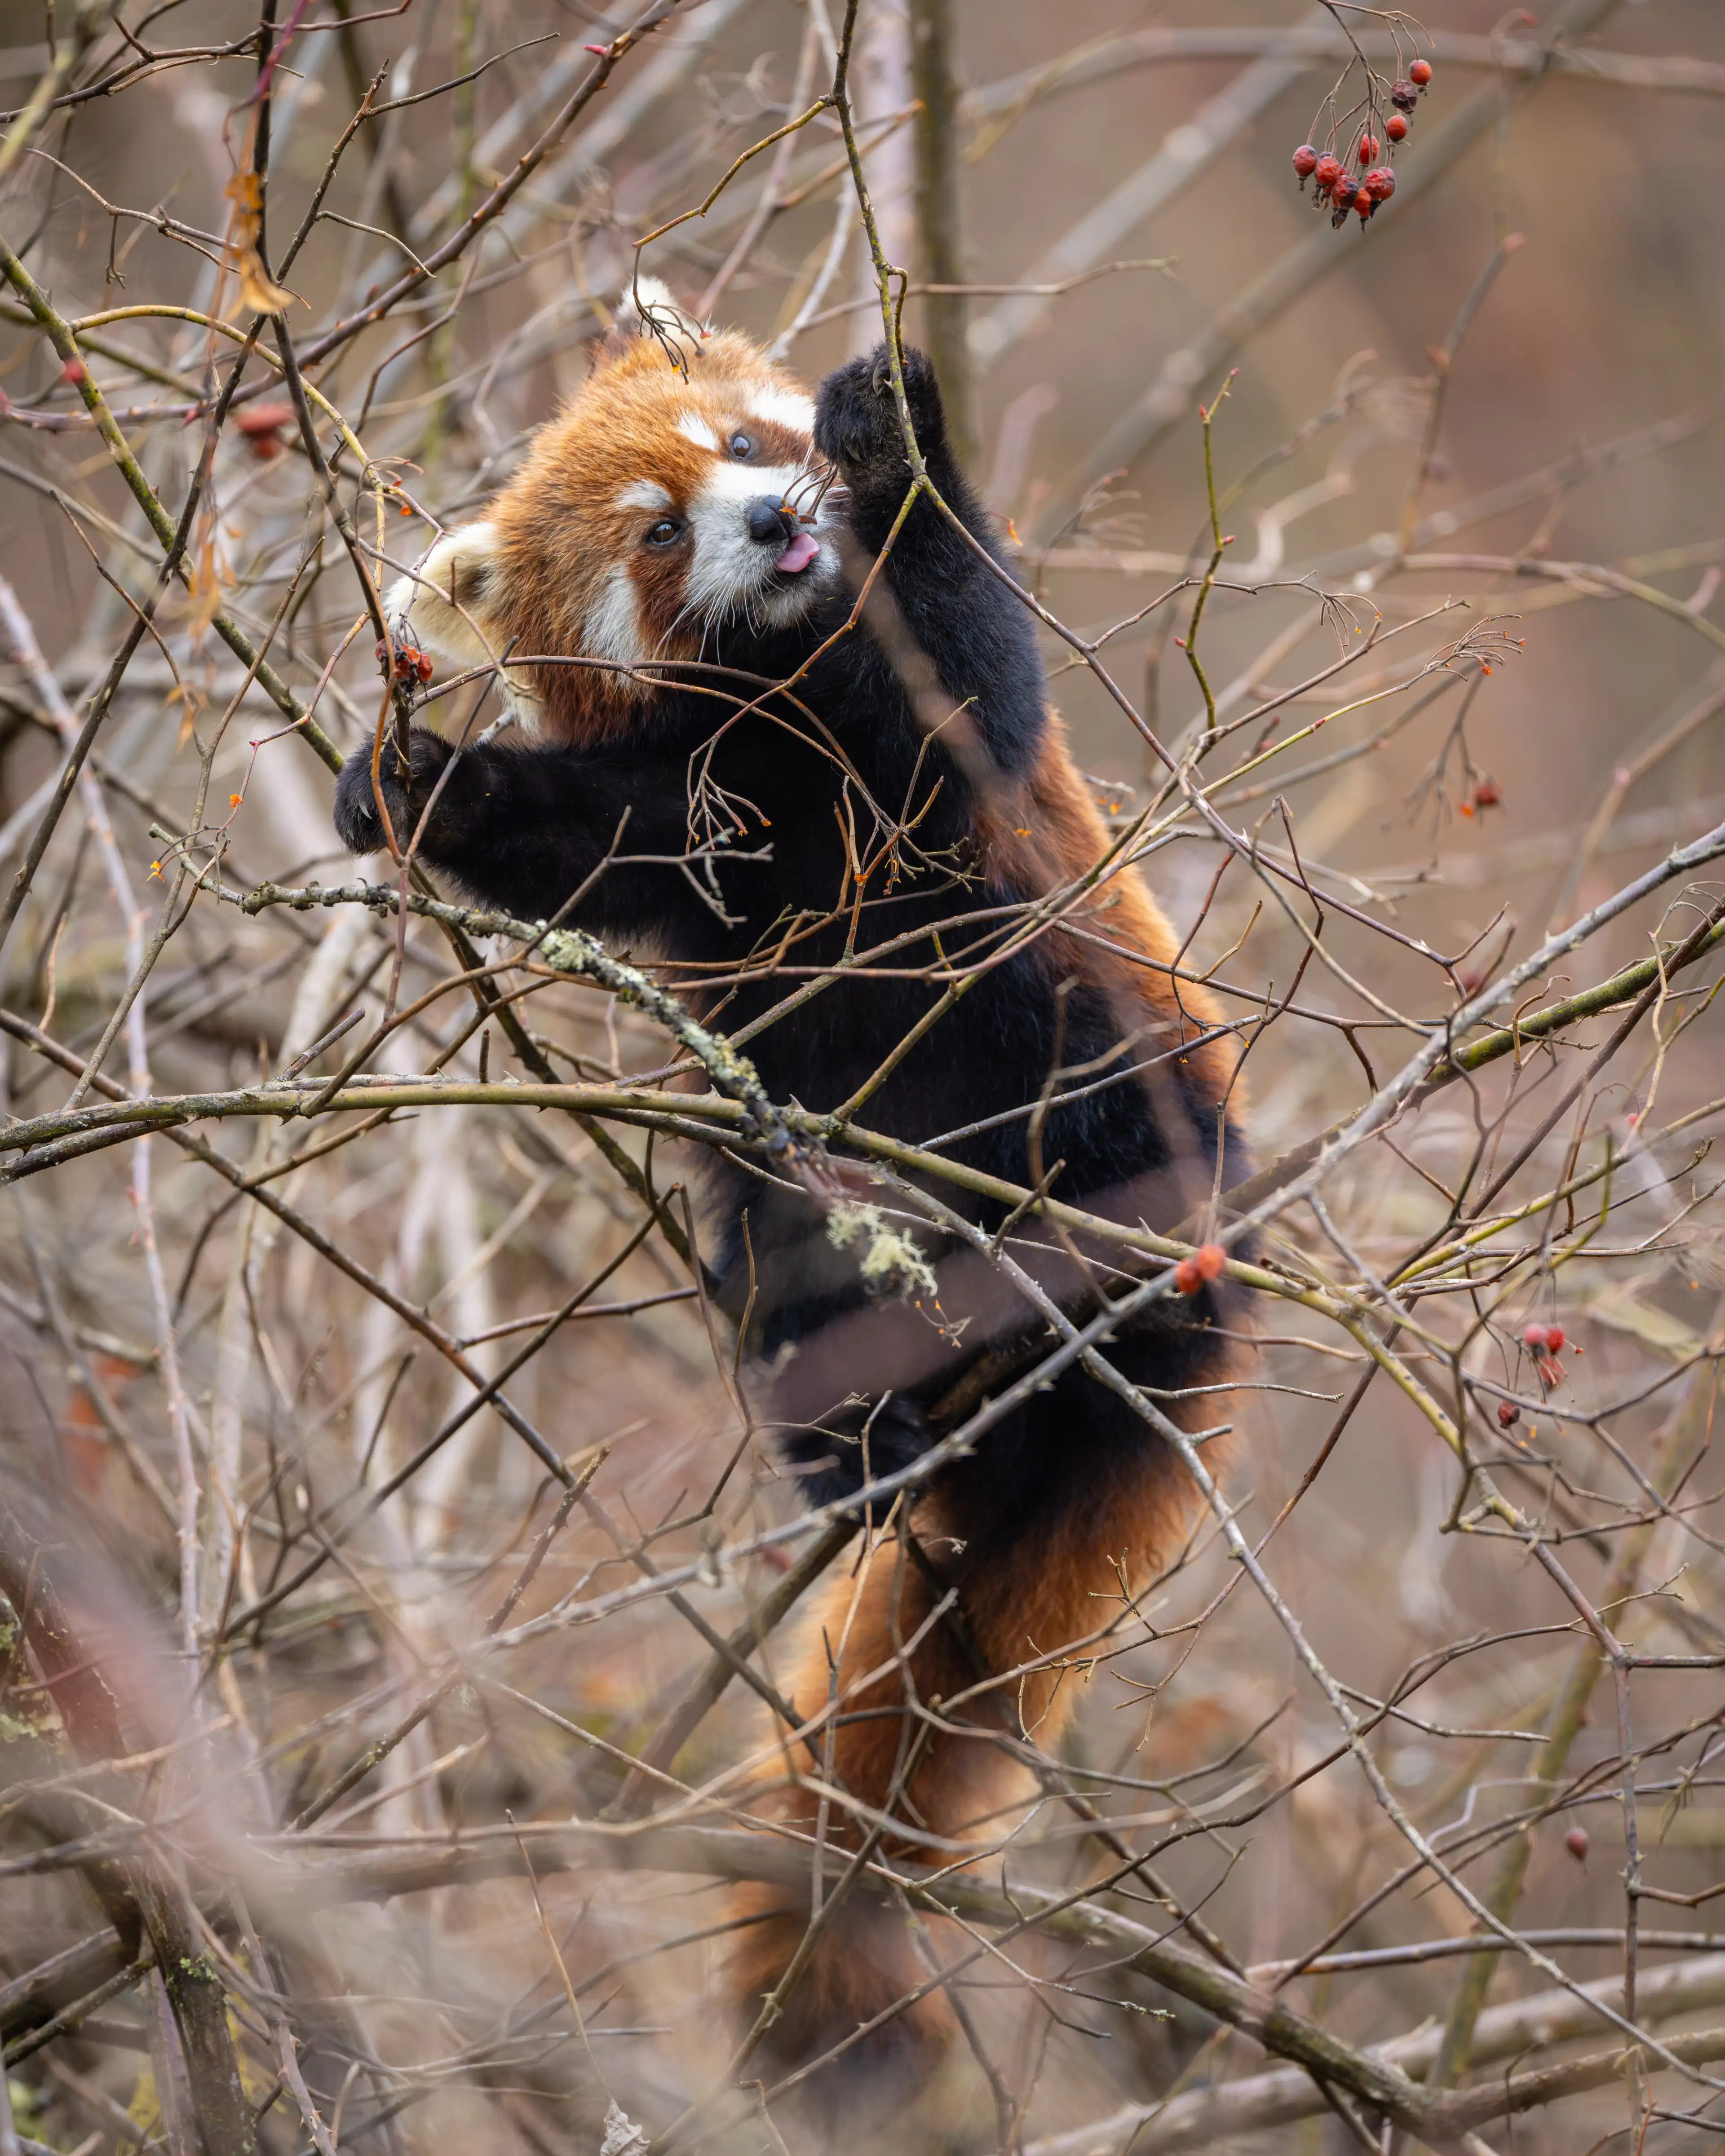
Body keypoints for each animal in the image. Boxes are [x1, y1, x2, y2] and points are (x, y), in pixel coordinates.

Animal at [334, 280, 1246, 2110]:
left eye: (753, 444)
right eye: (659, 528)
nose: (777, 518)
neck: (783, 699)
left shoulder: (931, 749)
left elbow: (969, 666)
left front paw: (893, 427)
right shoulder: (695, 800)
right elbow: (581, 846)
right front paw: (411, 784)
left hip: (1108, 1050)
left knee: (1091, 1101)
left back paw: (1092, 1260)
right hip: (794, 1179)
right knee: (776, 1235)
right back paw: (855, 1436)